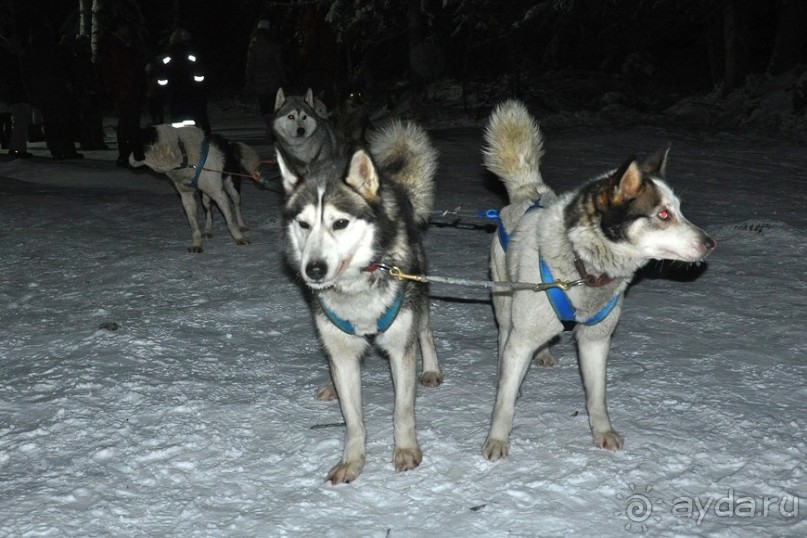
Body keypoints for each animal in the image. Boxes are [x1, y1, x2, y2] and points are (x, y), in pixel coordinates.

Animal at [129, 124, 258, 252]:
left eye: (135, 145)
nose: (128, 159)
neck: (181, 151)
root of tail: (229, 145)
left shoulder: (219, 194)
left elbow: (230, 221)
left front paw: (239, 238)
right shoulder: (187, 197)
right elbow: (194, 225)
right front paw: (196, 244)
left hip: (232, 188)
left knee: (236, 206)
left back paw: (241, 225)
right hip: (205, 197)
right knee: (209, 212)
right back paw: (207, 230)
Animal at [278, 120, 442, 482]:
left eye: (340, 223)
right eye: (304, 224)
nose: (313, 269)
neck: (356, 287)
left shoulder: (400, 346)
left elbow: (402, 410)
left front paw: (406, 450)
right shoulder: (341, 350)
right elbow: (352, 419)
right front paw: (352, 461)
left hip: (418, 298)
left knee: (425, 331)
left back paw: (432, 368)